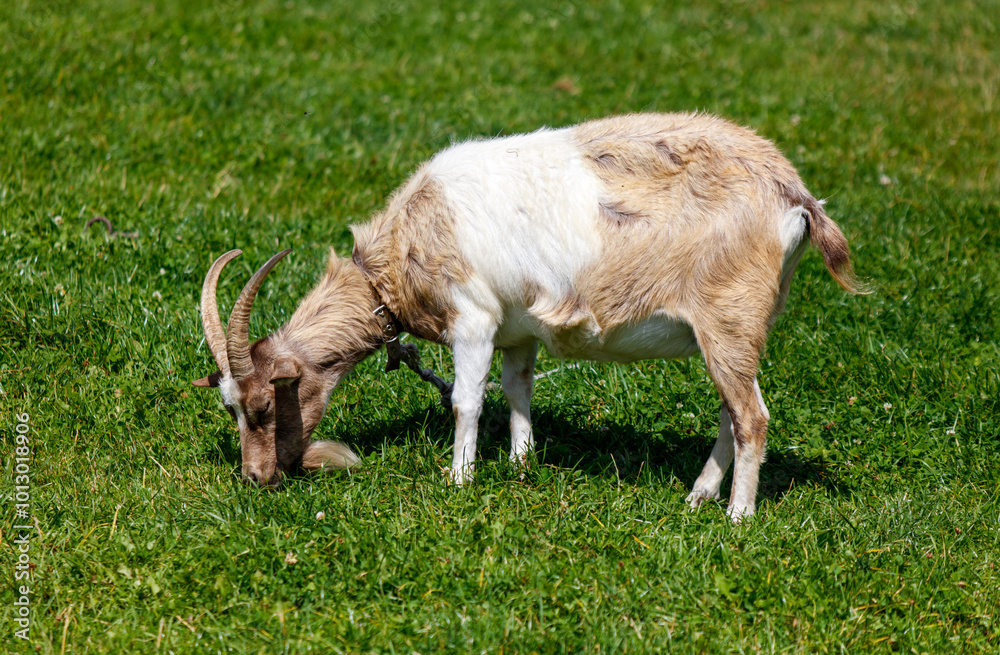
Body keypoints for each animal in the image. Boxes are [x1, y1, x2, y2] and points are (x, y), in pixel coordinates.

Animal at [193, 112, 864, 520]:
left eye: (261, 406)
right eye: (229, 408)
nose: (257, 478)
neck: (406, 246)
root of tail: (796, 196)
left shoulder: (473, 319)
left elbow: (467, 398)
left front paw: (459, 479)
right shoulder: (517, 330)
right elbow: (517, 388)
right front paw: (521, 463)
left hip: (729, 317)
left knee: (752, 416)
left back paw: (737, 515)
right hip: (732, 331)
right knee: (734, 410)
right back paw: (699, 496)